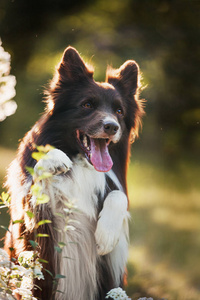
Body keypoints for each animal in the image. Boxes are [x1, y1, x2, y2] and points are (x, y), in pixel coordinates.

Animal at [4, 47, 144, 300]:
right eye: (87, 105)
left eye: (119, 111)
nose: (112, 126)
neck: (82, 165)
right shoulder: (33, 212)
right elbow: (38, 174)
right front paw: (55, 158)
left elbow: (119, 195)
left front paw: (106, 236)